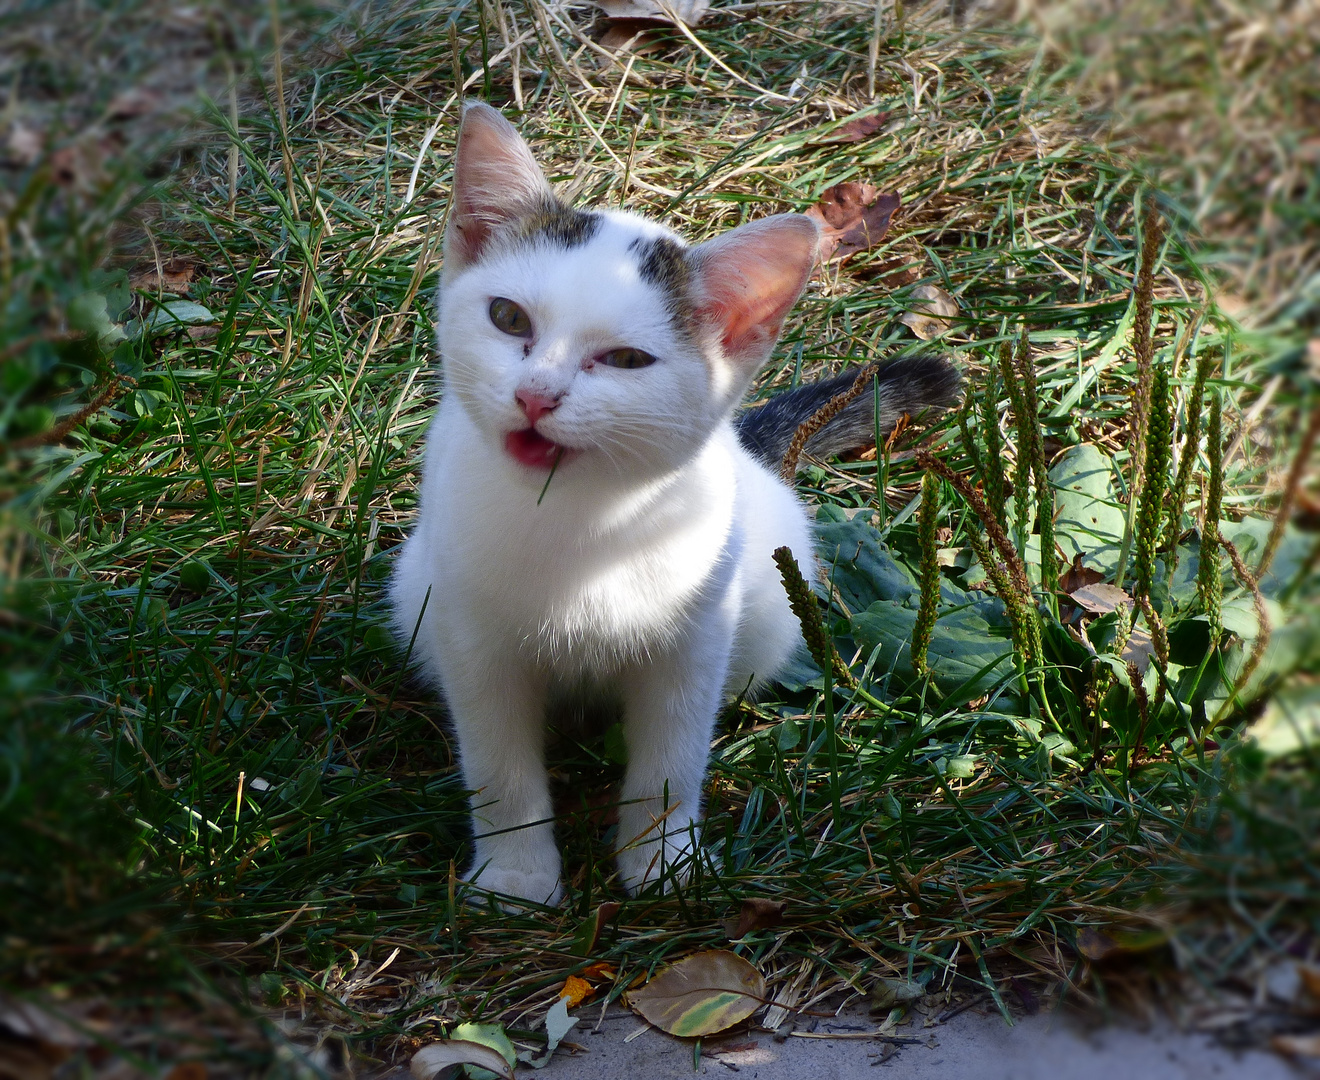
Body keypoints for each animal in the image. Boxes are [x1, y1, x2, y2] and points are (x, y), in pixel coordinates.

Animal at [385, 101, 955, 903]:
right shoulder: (473, 640)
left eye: (626, 361)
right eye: (508, 318)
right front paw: (516, 876)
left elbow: (670, 762)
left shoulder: (693, 644)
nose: (535, 396)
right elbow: (499, 768)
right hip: (416, 595)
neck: (582, 521)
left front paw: (663, 862)